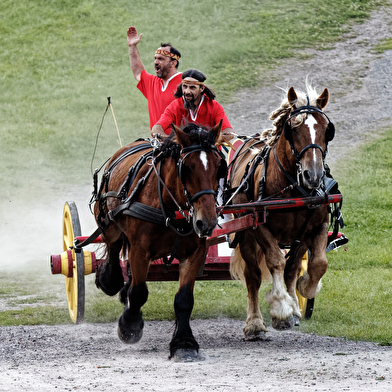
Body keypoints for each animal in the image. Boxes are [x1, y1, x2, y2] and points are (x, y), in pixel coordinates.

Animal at [92, 121, 227, 360]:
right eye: (187, 167)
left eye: (219, 165)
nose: (207, 221)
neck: (170, 206)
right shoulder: (140, 251)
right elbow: (139, 292)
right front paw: (129, 326)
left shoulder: (195, 253)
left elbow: (184, 299)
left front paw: (184, 343)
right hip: (109, 225)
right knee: (114, 251)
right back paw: (110, 280)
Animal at [228, 84, 338, 338]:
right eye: (293, 130)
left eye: (326, 129)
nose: (313, 175)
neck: (293, 187)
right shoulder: (259, 228)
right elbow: (276, 261)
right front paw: (281, 308)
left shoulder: (315, 227)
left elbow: (317, 264)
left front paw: (304, 289)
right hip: (245, 234)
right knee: (253, 276)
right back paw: (255, 323)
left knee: (292, 268)